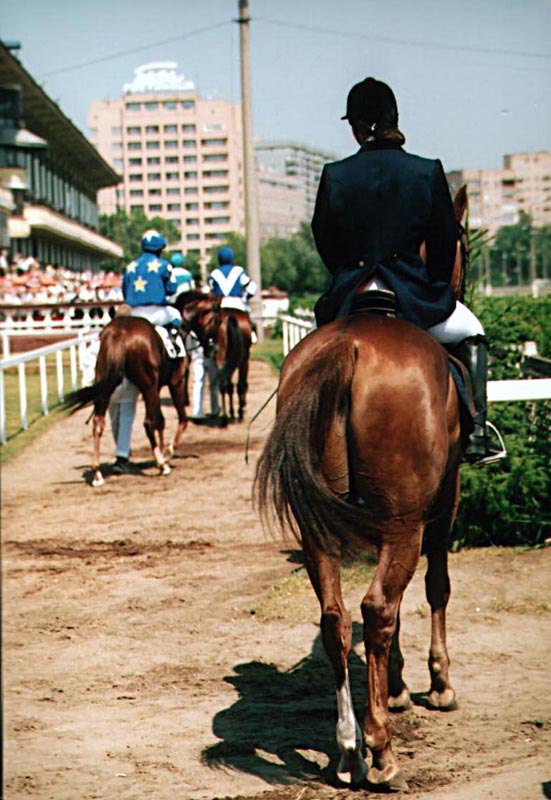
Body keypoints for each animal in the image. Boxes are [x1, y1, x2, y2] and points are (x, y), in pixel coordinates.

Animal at [65, 318, 188, 488]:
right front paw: (167, 453)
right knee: (149, 422)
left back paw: (97, 473)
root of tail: (118, 333)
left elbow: (161, 421)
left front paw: (164, 453)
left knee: (98, 424)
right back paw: (162, 464)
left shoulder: (157, 388)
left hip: (105, 387)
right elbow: (179, 420)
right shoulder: (175, 382)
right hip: (148, 386)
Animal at [256, 191, 468, 792]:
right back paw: (381, 753)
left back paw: (348, 749)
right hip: (404, 522)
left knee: (335, 617)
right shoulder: (442, 502)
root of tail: (349, 347)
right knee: (377, 608)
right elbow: (437, 585)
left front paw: (394, 688)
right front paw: (435, 685)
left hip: (321, 530)